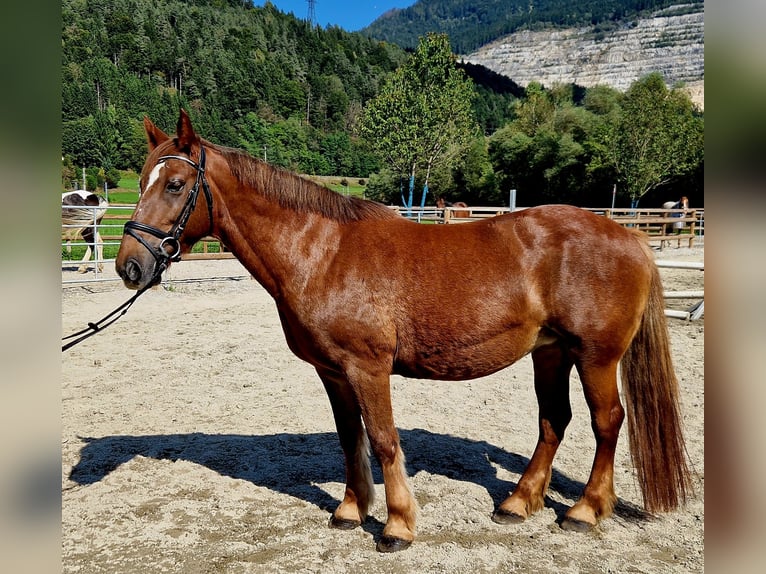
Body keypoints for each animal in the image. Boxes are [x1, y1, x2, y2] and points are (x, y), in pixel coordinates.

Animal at [115, 110, 696, 556]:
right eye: (141, 181)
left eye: (175, 184)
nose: (130, 268)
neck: (323, 253)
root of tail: (628, 236)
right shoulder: (334, 373)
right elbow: (351, 440)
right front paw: (351, 511)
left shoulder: (368, 368)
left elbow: (384, 440)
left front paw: (397, 527)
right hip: (549, 353)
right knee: (554, 421)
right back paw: (517, 503)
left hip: (595, 356)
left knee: (607, 422)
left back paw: (584, 511)